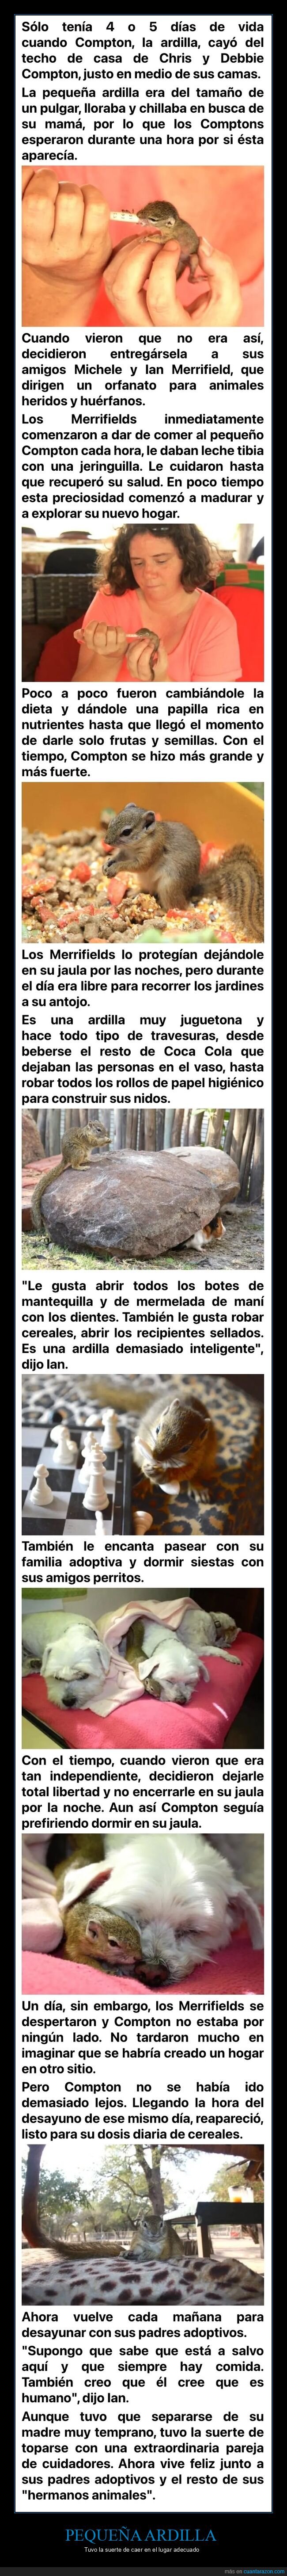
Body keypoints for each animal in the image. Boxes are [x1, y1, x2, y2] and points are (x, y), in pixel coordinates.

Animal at [31, 1124, 110, 1237]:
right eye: (99, 1130)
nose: (106, 1135)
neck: (88, 1133)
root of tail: (66, 1158)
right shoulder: (88, 1140)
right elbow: (96, 1143)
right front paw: (106, 1140)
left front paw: (108, 1139)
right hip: (78, 1152)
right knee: (74, 1166)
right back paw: (82, 1168)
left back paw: (88, 1160)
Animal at [106, 806, 264, 938]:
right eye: (112, 821)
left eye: (127, 832)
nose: (106, 841)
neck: (142, 841)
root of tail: (190, 891)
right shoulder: (126, 853)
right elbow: (119, 857)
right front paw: (107, 865)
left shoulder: (151, 852)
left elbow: (138, 866)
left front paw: (115, 868)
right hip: (147, 881)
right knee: (149, 891)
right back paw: (134, 893)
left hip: (169, 886)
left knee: (176, 905)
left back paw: (162, 911)